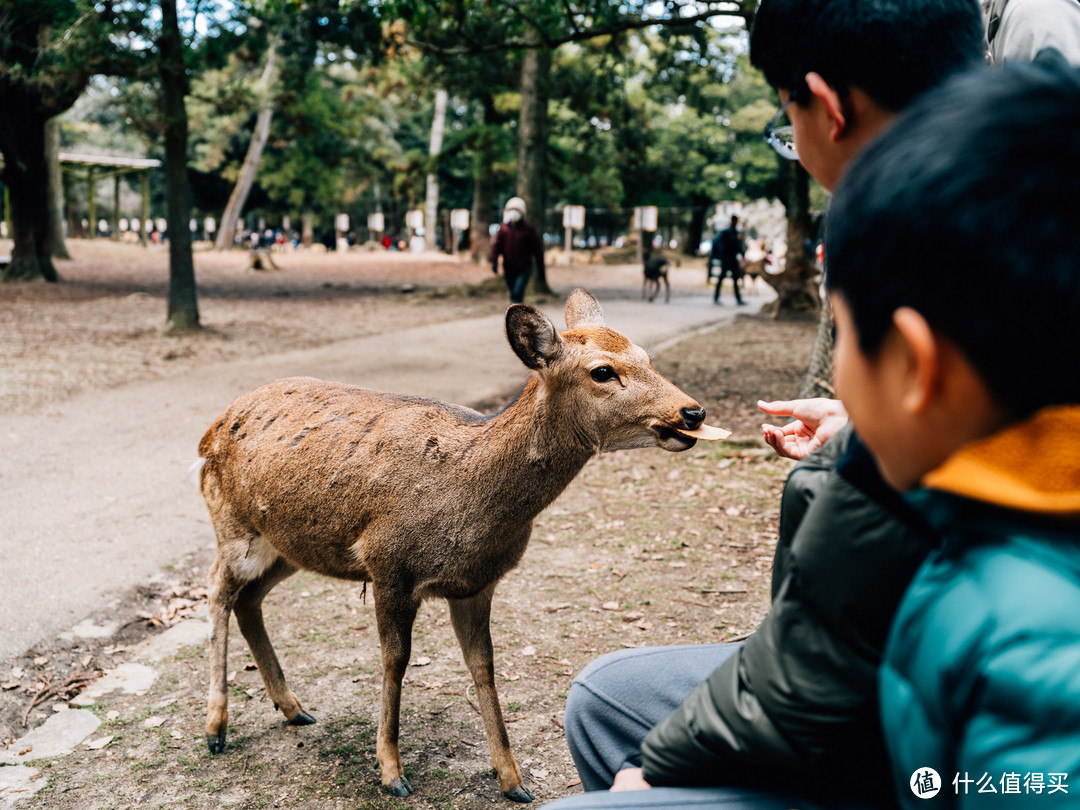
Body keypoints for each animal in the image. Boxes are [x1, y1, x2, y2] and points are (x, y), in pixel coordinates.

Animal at [196, 289, 728, 802]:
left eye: (647, 356)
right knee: (218, 591)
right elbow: (395, 661)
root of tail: (211, 430)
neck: (471, 506)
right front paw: (392, 772)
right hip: (232, 524)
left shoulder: (477, 583)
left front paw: (514, 780)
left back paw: (293, 708)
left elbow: (484, 666)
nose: (693, 412)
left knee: (249, 599)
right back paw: (216, 729)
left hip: (290, 544)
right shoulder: (388, 562)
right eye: (602, 371)